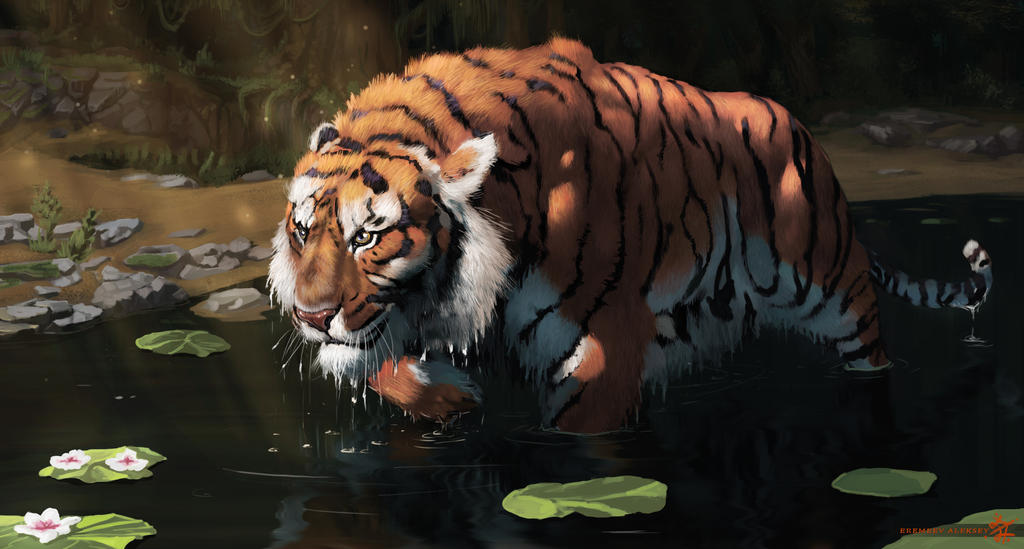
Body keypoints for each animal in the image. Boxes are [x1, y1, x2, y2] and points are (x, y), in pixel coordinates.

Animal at [267, 38, 993, 434]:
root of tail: (806, 134)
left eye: (369, 237)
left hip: (828, 282)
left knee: (871, 343)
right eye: (301, 232)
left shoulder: (604, 343)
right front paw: (451, 397)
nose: (311, 316)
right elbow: (383, 361)